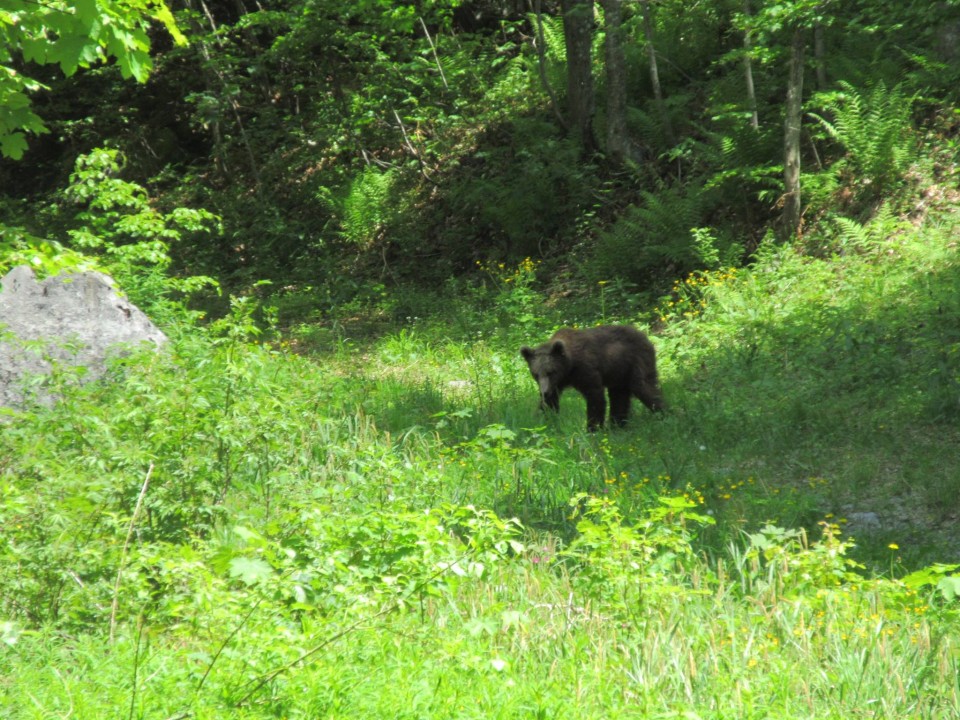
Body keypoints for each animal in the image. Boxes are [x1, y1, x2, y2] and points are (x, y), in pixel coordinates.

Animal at [520, 324, 664, 430]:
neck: (569, 368)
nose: (544, 392)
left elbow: (595, 396)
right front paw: (544, 421)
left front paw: (592, 428)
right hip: (619, 373)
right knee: (619, 396)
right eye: (536, 374)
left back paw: (664, 414)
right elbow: (550, 403)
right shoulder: (557, 383)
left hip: (636, 362)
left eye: (551, 371)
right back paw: (617, 425)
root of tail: (644, 336)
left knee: (645, 388)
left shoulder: (585, 369)